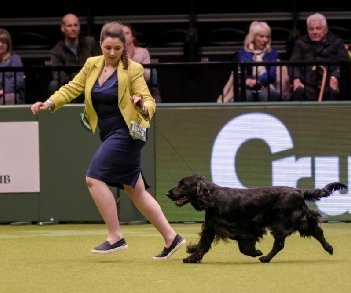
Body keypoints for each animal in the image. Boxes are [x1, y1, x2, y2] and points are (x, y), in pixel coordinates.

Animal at [166, 173, 348, 262]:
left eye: (183, 184)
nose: (168, 193)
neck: (213, 198)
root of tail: (299, 191)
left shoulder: (244, 227)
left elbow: (243, 246)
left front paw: (255, 252)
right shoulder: (211, 226)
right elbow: (203, 244)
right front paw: (192, 255)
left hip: (283, 222)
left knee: (280, 244)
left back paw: (265, 258)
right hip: (301, 220)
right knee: (318, 232)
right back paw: (329, 248)